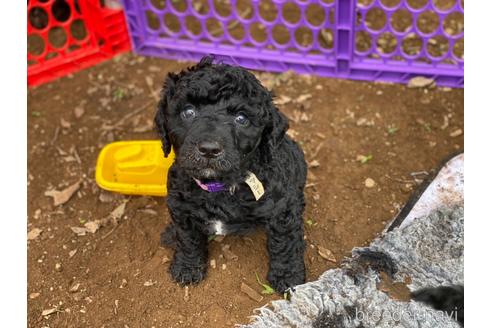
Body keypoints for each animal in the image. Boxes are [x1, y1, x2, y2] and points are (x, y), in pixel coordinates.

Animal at [155, 56, 308, 292]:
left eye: (241, 118)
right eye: (188, 112)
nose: (209, 149)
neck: (219, 187)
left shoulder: (282, 209)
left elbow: (285, 243)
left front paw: (288, 277)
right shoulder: (180, 205)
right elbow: (187, 238)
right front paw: (187, 266)